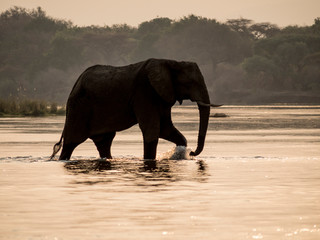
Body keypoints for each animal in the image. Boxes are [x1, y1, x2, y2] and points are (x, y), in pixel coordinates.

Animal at [50, 58, 220, 160]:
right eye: (190, 83)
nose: (192, 152)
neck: (171, 62)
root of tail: (76, 83)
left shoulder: (162, 94)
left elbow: (165, 129)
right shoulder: (145, 92)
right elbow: (152, 130)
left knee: (104, 142)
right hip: (78, 108)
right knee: (71, 142)